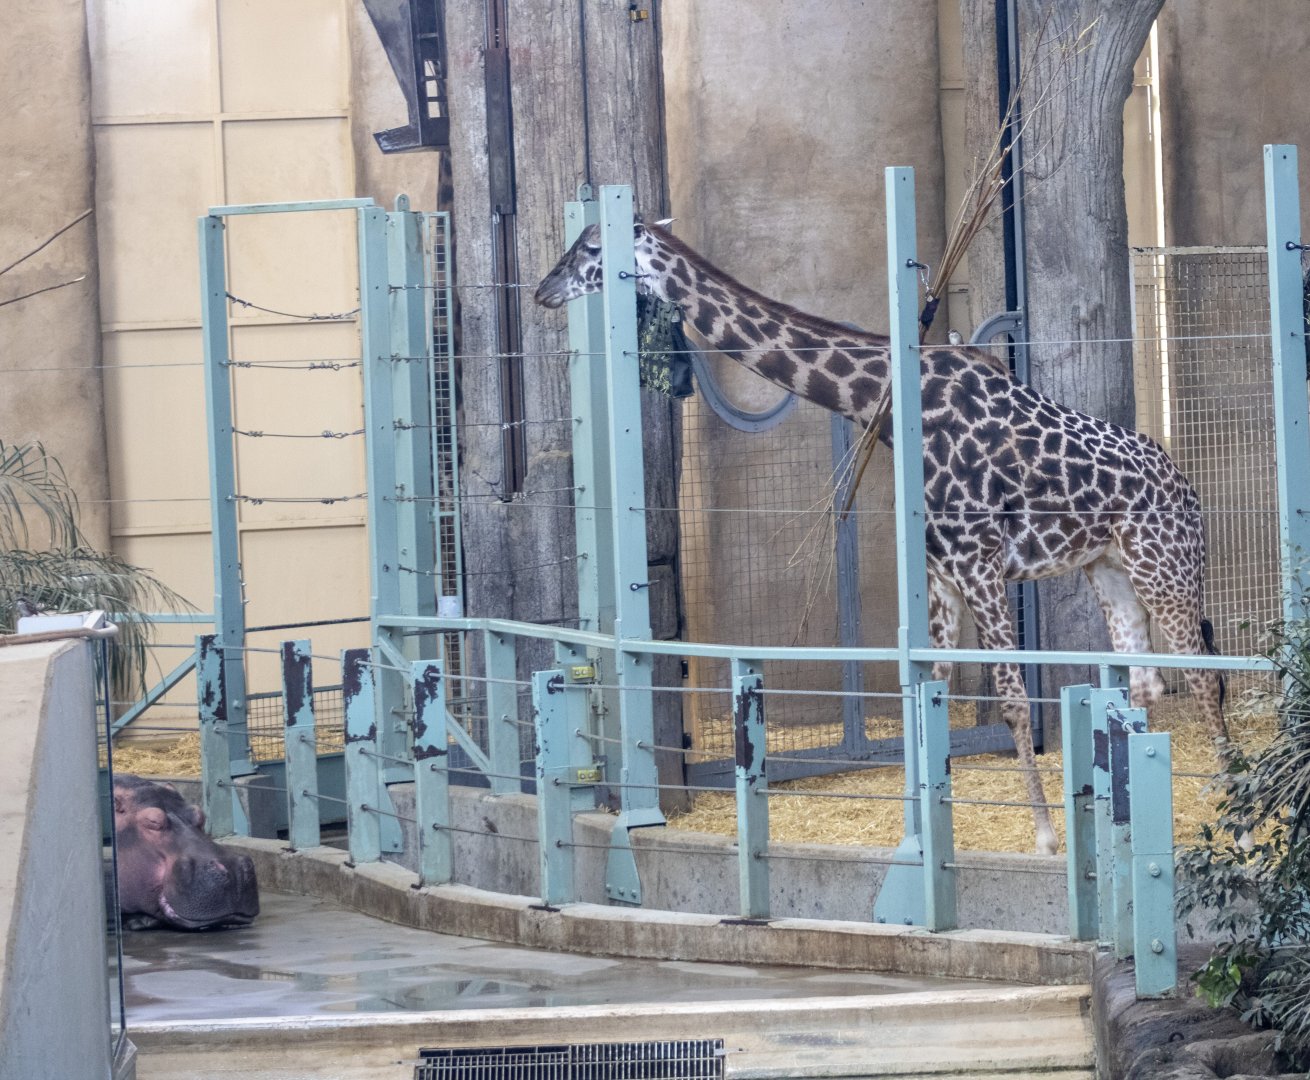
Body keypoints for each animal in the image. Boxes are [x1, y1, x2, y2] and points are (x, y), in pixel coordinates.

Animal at [534, 220, 1226, 856]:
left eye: (591, 249)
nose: (543, 290)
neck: (890, 407)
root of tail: (1189, 488)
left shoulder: (980, 565)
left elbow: (1011, 701)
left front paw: (1046, 838)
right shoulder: (941, 573)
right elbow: (929, 695)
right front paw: (927, 836)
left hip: (1167, 567)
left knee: (1202, 671)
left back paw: (1225, 803)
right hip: (1110, 568)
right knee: (1146, 681)